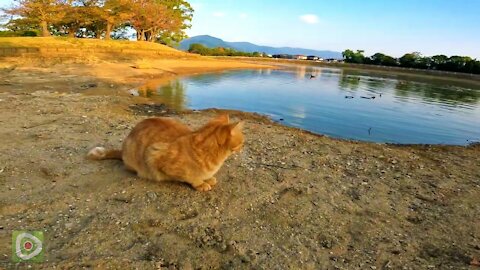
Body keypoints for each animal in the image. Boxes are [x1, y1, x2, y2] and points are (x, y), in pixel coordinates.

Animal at [86, 115, 244, 191]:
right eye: (242, 141)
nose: (243, 146)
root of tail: (123, 150)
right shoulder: (154, 154)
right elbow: (189, 177)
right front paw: (200, 183)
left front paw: (208, 178)